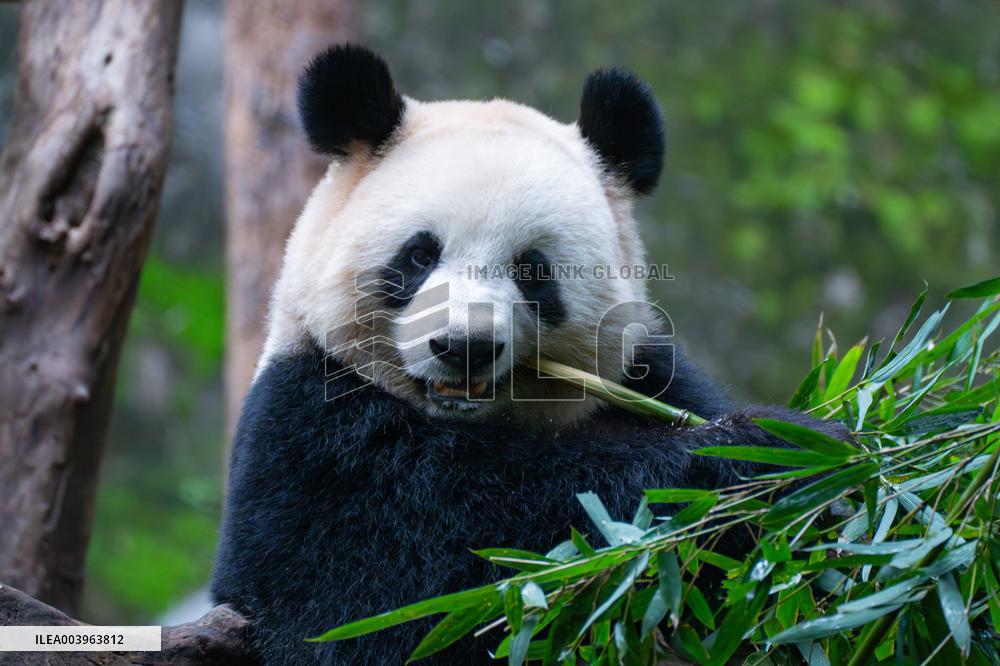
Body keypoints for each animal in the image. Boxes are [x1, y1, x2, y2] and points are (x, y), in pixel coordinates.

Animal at [211, 44, 848, 665]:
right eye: (419, 255)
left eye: (533, 269)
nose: (463, 347)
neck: (468, 420)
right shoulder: (317, 438)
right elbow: (403, 580)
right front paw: (773, 453)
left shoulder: (647, 378)